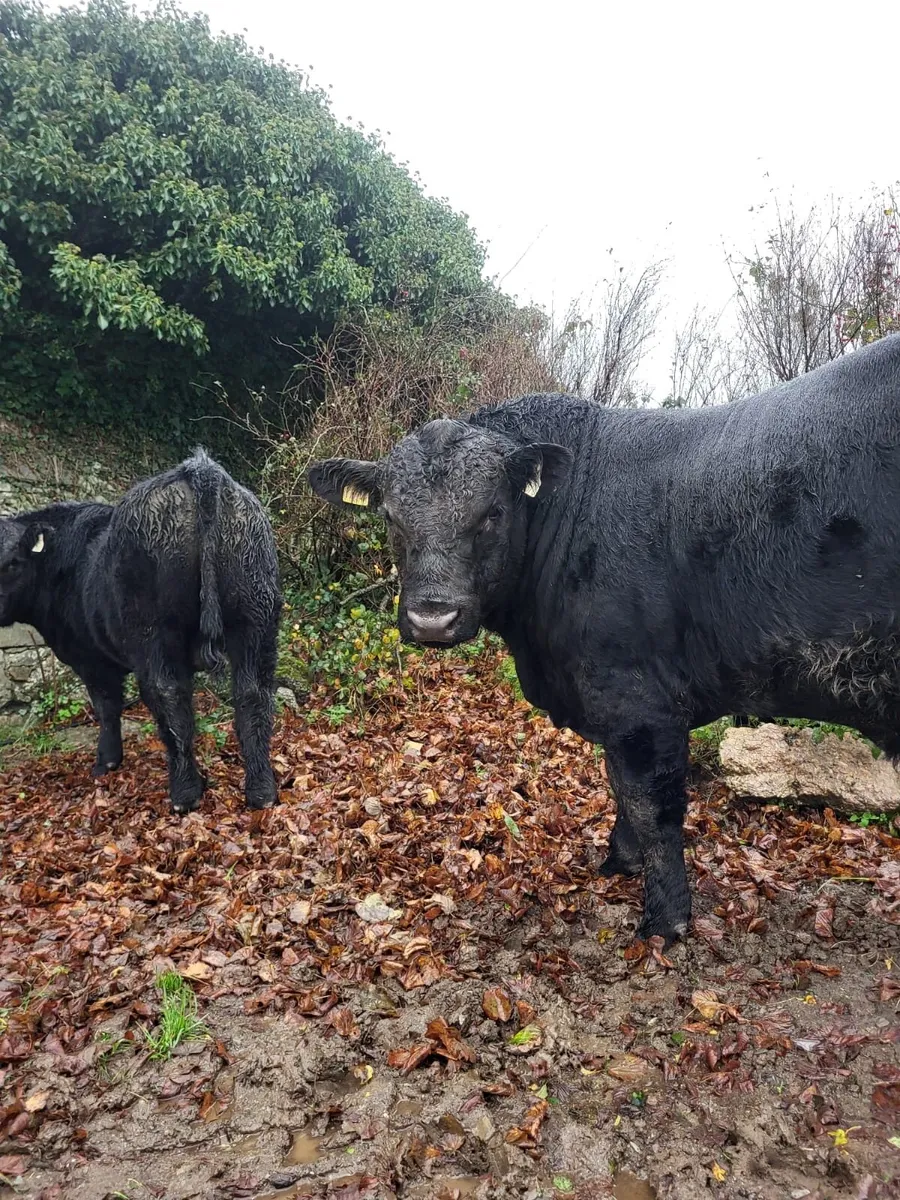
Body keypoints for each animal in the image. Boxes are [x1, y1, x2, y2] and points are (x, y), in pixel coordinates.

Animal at [0, 450, 281, 815]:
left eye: (12, 563)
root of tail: (199, 468)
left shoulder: (90, 659)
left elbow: (106, 707)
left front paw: (105, 762)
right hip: (255, 616)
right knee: (253, 693)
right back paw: (262, 791)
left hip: (153, 628)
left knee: (168, 693)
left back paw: (185, 794)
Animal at [308, 333, 900, 943]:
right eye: (391, 517)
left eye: (492, 513)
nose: (432, 617)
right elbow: (618, 785)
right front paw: (620, 862)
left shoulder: (639, 702)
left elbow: (650, 805)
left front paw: (665, 919)